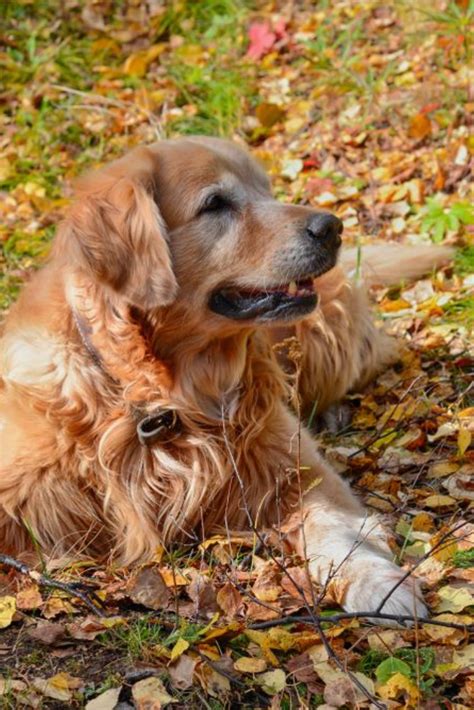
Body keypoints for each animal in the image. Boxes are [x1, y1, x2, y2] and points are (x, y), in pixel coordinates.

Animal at [0, 138, 452, 616]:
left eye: (267, 190)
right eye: (215, 203)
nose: (332, 227)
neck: (161, 394)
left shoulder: (300, 471)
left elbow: (338, 531)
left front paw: (378, 584)